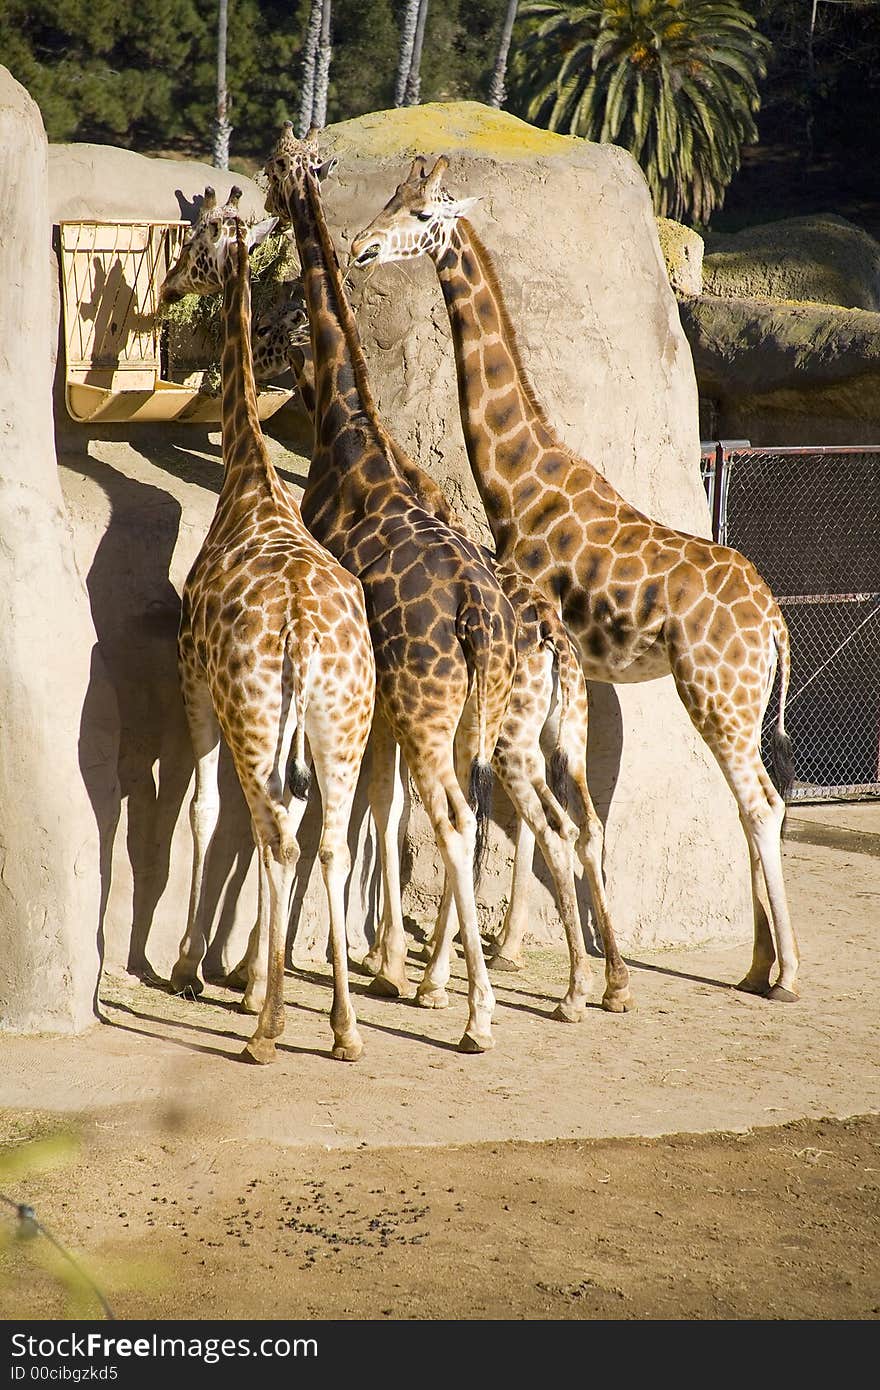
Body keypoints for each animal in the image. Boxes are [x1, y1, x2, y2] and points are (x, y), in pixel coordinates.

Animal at [158, 187, 378, 1061]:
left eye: (193, 245)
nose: (168, 289)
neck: (249, 479)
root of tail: (304, 636)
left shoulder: (194, 678)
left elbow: (204, 813)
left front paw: (193, 966)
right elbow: (262, 825)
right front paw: (247, 975)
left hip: (256, 710)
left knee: (279, 830)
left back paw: (268, 1031)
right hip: (340, 720)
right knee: (328, 838)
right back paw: (342, 1028)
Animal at [261, 127, 522, 1050]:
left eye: (278, 167)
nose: (361, 247)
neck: (350, 441)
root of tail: (481, 616)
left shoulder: (372, 689)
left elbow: (364, 807)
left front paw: (374, 964)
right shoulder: (377, 697)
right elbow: (378, 803)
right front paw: (387, 962)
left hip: (425, 700)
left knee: (450, 816)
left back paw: (474, 1011)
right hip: (471, 707)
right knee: (469, 812)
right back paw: (455, 982)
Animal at [348, 157, 795, 1006]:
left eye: (420, 212)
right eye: (386, 197)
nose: (360, 247)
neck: (518, 480)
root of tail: (778, 623)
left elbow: (517, 812)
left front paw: (501, 956)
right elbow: (540, 816)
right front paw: (520, 949)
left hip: (715, 692)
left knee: (761, 803)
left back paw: (784, 972)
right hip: (740, 702)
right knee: (749, 803)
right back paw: (755, 964)